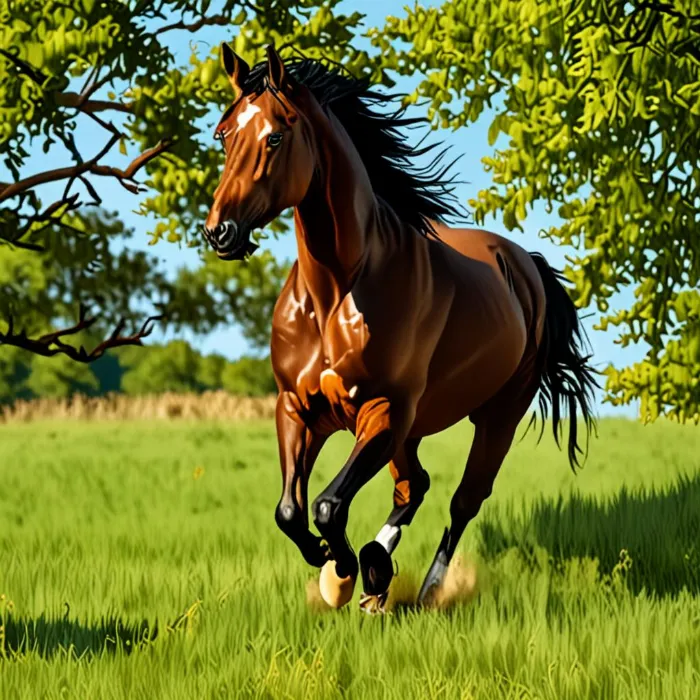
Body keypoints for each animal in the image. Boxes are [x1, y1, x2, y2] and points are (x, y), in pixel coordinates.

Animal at [201, 43, 596, 612]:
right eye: (224, 134)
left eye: (275, 135)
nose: (220, 233)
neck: (337, 294)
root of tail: (525, 264)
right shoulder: (298, 408)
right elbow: (291, 511)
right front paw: (338, 567)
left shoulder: (383, 410)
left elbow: (327, 505)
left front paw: (340, 573)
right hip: (410, 429)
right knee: (415, 486)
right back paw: (376, 573)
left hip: (495, 414)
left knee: (464, 499)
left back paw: (420, 585)